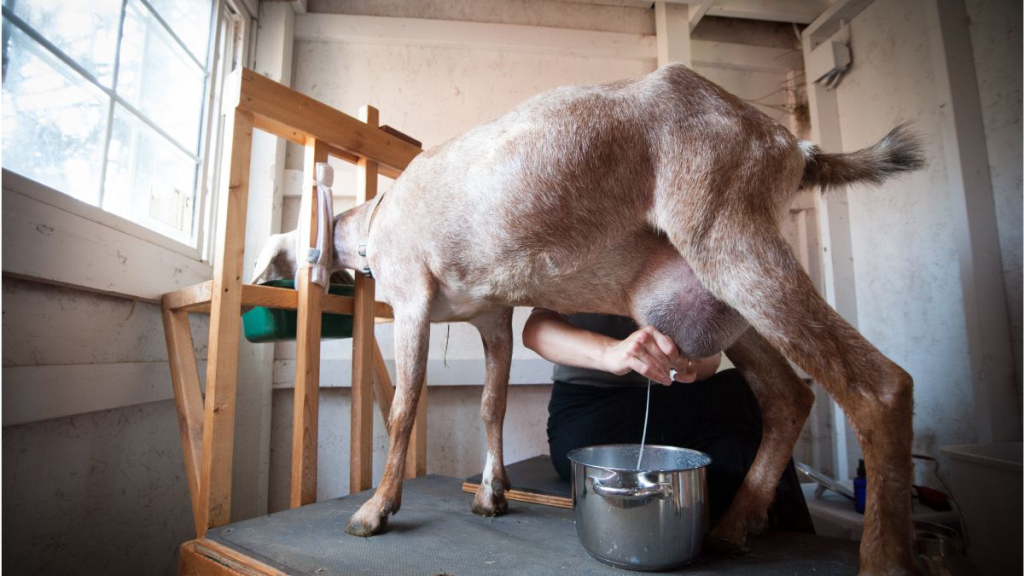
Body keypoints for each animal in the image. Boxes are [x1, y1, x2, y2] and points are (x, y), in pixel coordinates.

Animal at [258, 65, 929, 569]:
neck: (379, 215)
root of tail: (792, 144)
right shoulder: (494, 318)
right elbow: (491, 404)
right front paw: (492, 494)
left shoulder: (413, 301)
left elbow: (404, 409)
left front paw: (374, 511)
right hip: (727, 288)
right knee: (789, 395)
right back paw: (733, 526)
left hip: (729, 239)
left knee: (880, 386)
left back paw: (881, 557)